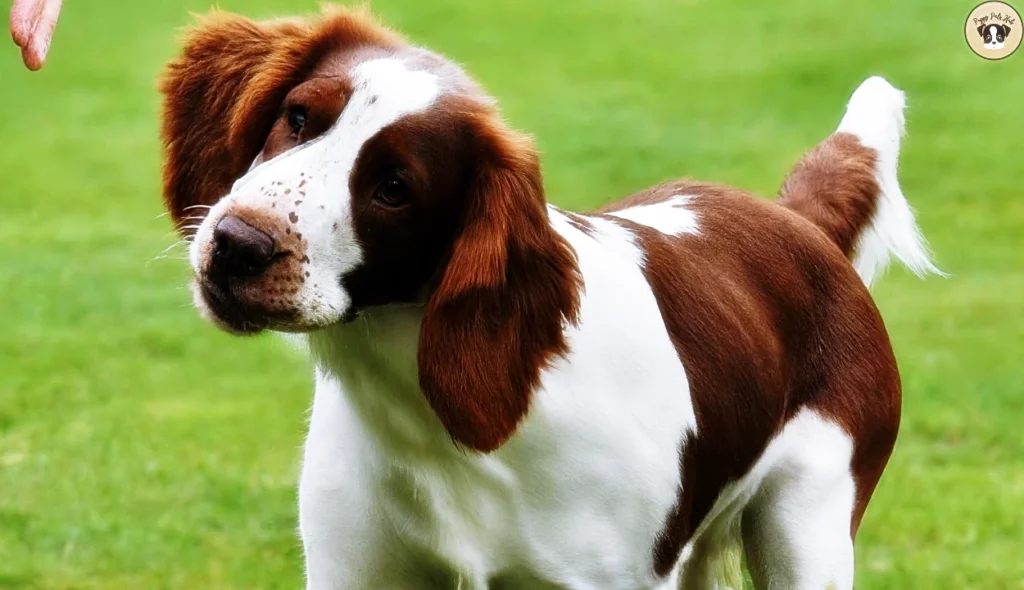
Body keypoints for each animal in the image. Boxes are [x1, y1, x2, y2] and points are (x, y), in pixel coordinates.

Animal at [161, 5, 942, 590]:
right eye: (297, 117)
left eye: (395, 188)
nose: (237, 244)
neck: (428, 416)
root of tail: (800, 225)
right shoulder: (354, 571)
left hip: (805, 525)